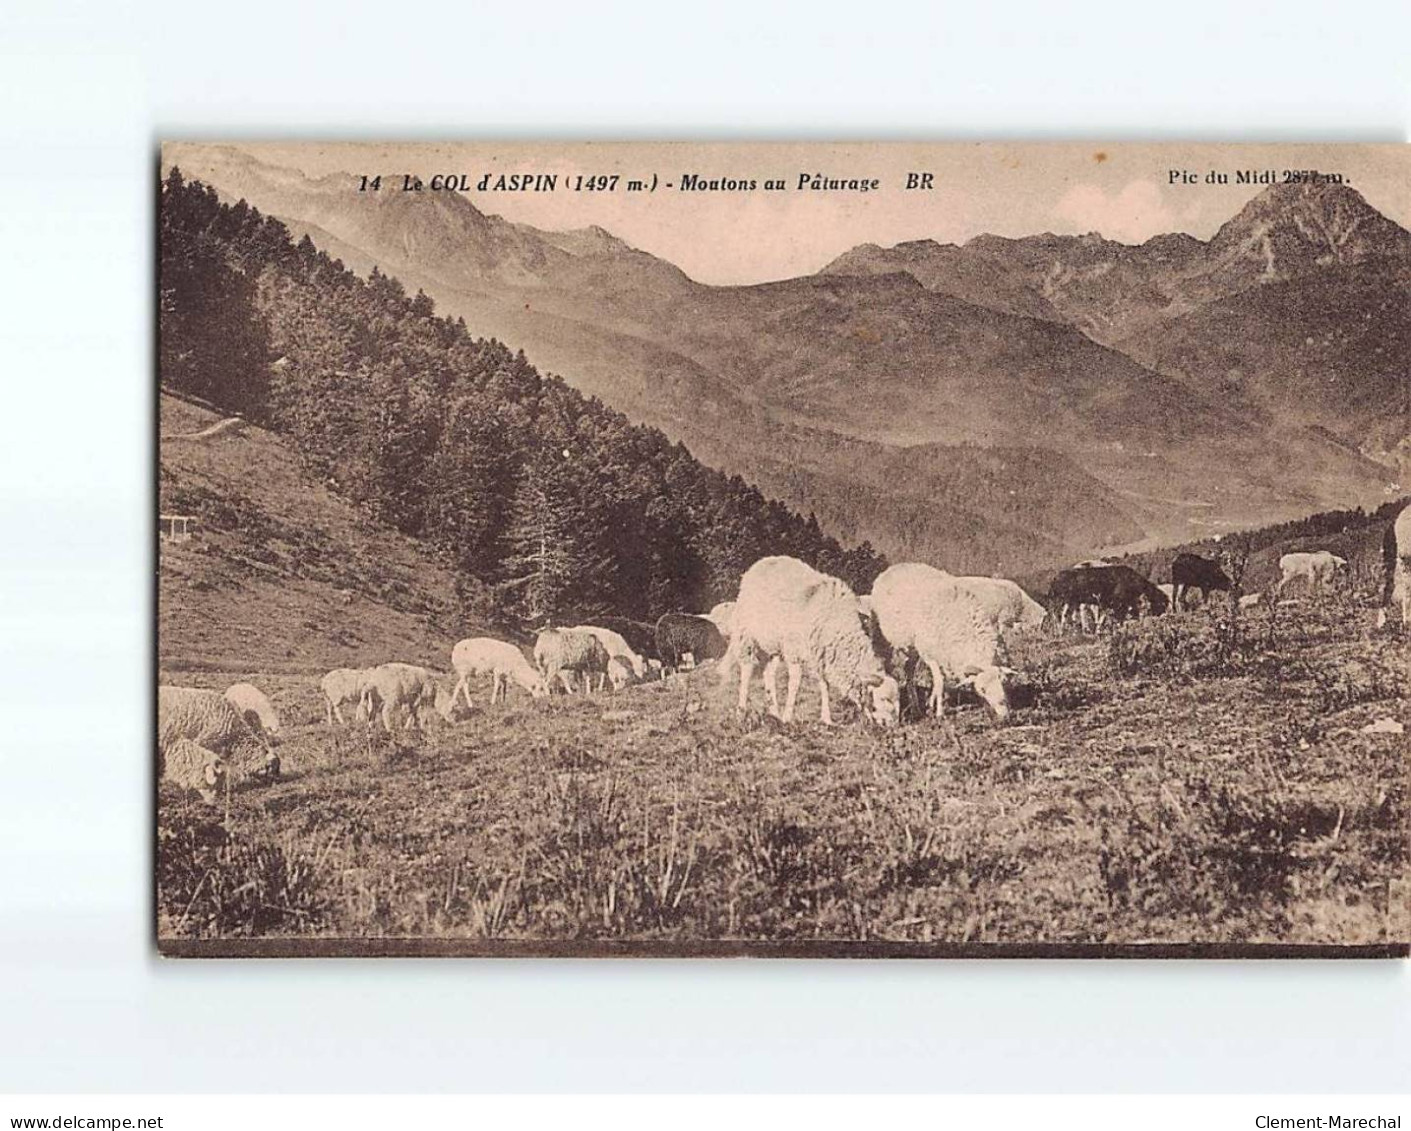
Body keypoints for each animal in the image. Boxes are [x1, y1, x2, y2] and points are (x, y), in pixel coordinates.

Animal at [722, 552, 897, 727]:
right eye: (883, 699)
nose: (892, 725)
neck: (837, 621)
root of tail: (763, 562)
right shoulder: (795, 650)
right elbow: (795, 684)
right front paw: (787, 717)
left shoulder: (821, 654)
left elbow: (824, 685)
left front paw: (827, 718)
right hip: (747, 634)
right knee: (747, 670)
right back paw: (742, 711)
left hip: (773, 644)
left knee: (769, 673)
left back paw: (774, 712)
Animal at [869, 558, 1015, 722]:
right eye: (982, 689)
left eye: (1003, 684)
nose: (1005, 715)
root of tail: (896, 566)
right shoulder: (930, 655)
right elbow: (940, 682)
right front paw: (939, 712)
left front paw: (931, 703)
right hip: (883, 635)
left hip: (913, 645)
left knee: (909, 670)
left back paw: (915, 708)